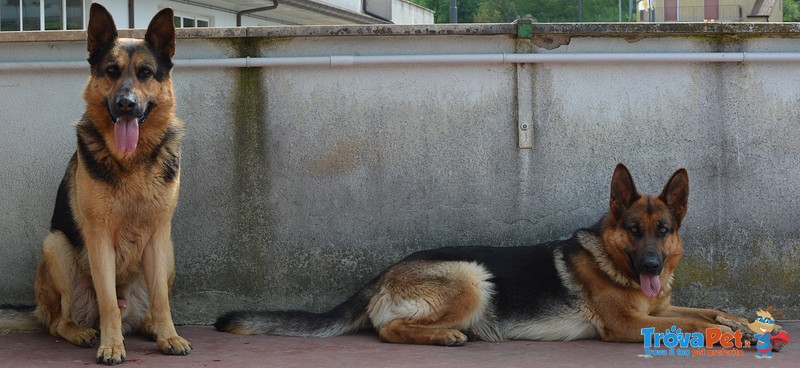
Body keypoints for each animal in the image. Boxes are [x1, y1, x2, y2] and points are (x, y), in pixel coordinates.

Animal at [0, 3, 191, 366]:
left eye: (145, 73)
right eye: (111, 71)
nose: (126, 104)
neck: (130, 160)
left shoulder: (159, 234)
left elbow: (162, 299)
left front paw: (169, 336)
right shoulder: (99, 238)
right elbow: (107, 303)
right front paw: (112, 346)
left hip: (169, 251)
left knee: (144, 308)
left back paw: (150, 327)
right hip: (55, 246)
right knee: (60, 321)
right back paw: (82, 332)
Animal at [216, 164, 748, 344]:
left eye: (663, 231)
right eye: (633, 231)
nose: (652, 266)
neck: (615, 262)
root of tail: (382, 273)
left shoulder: (654, 310)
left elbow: (704, 312)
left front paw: (740, 322)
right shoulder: (626, 325)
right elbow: (691, 325)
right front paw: (731, 333)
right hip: (472, 277)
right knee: (388, 329)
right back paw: (446, 336)